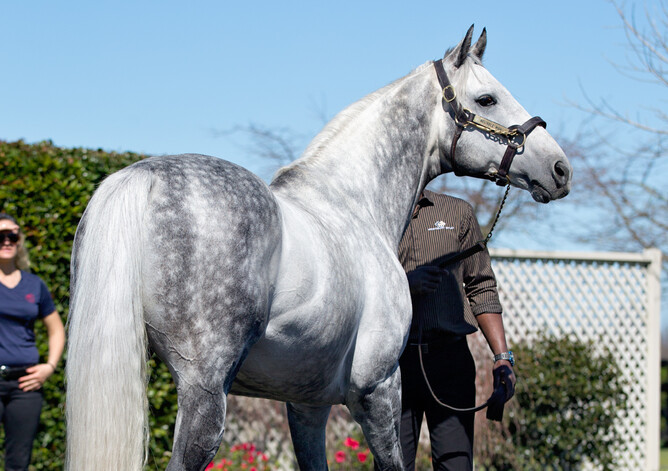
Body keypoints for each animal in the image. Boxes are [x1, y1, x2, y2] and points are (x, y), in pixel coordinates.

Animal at [66, 26, 571, 471]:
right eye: (487, 99)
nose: (560, 168)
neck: (354, 202)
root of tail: (143, 177)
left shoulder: (306, 404)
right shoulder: (378, 388)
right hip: (206, 393)